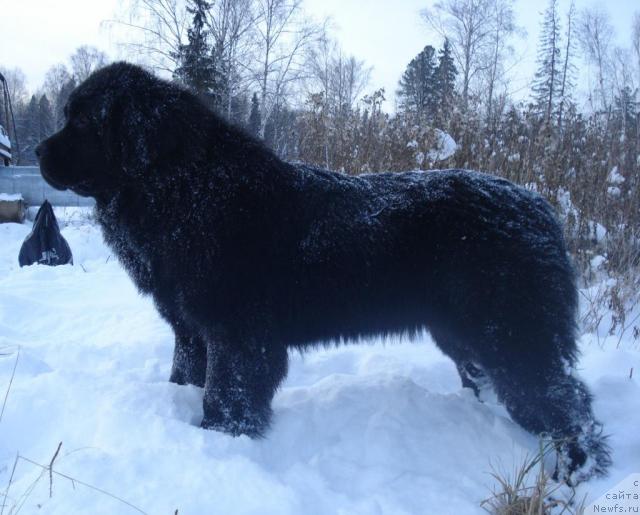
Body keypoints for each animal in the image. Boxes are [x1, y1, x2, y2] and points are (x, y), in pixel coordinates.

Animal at [36, 62, 608, 486]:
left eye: (82, 122)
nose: (38, 150)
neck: (187, 192)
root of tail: (540, 210)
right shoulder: (191, 331)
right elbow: (186, 375)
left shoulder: (238, 337)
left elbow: (227, 397)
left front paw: (220, 438)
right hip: (466, 336)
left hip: (510, 334)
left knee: (567, 401)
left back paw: (575, 473)